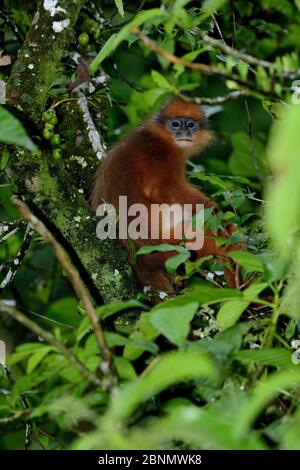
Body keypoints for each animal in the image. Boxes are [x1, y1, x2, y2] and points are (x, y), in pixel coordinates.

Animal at [90, 95, 243, 292]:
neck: (164, 139)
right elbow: (163, 189)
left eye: (190, 124)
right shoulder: (162, 156)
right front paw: (215, 211)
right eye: (175, 124)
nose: (184, 131)